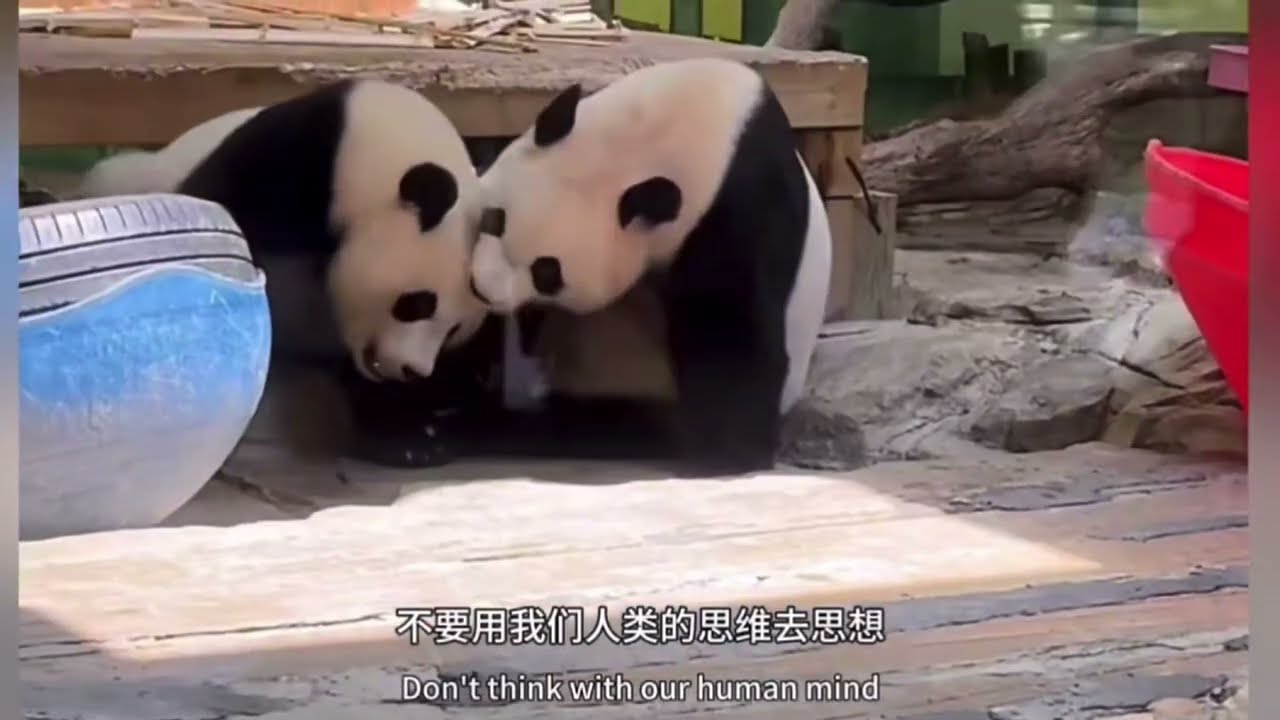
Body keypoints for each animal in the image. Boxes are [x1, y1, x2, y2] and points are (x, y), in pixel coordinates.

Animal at [468, 57, 833, 475]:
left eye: (546, 271)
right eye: (495, 219)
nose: (482, 289)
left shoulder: (738, 205)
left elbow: (731, 326)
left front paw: (728, 452)